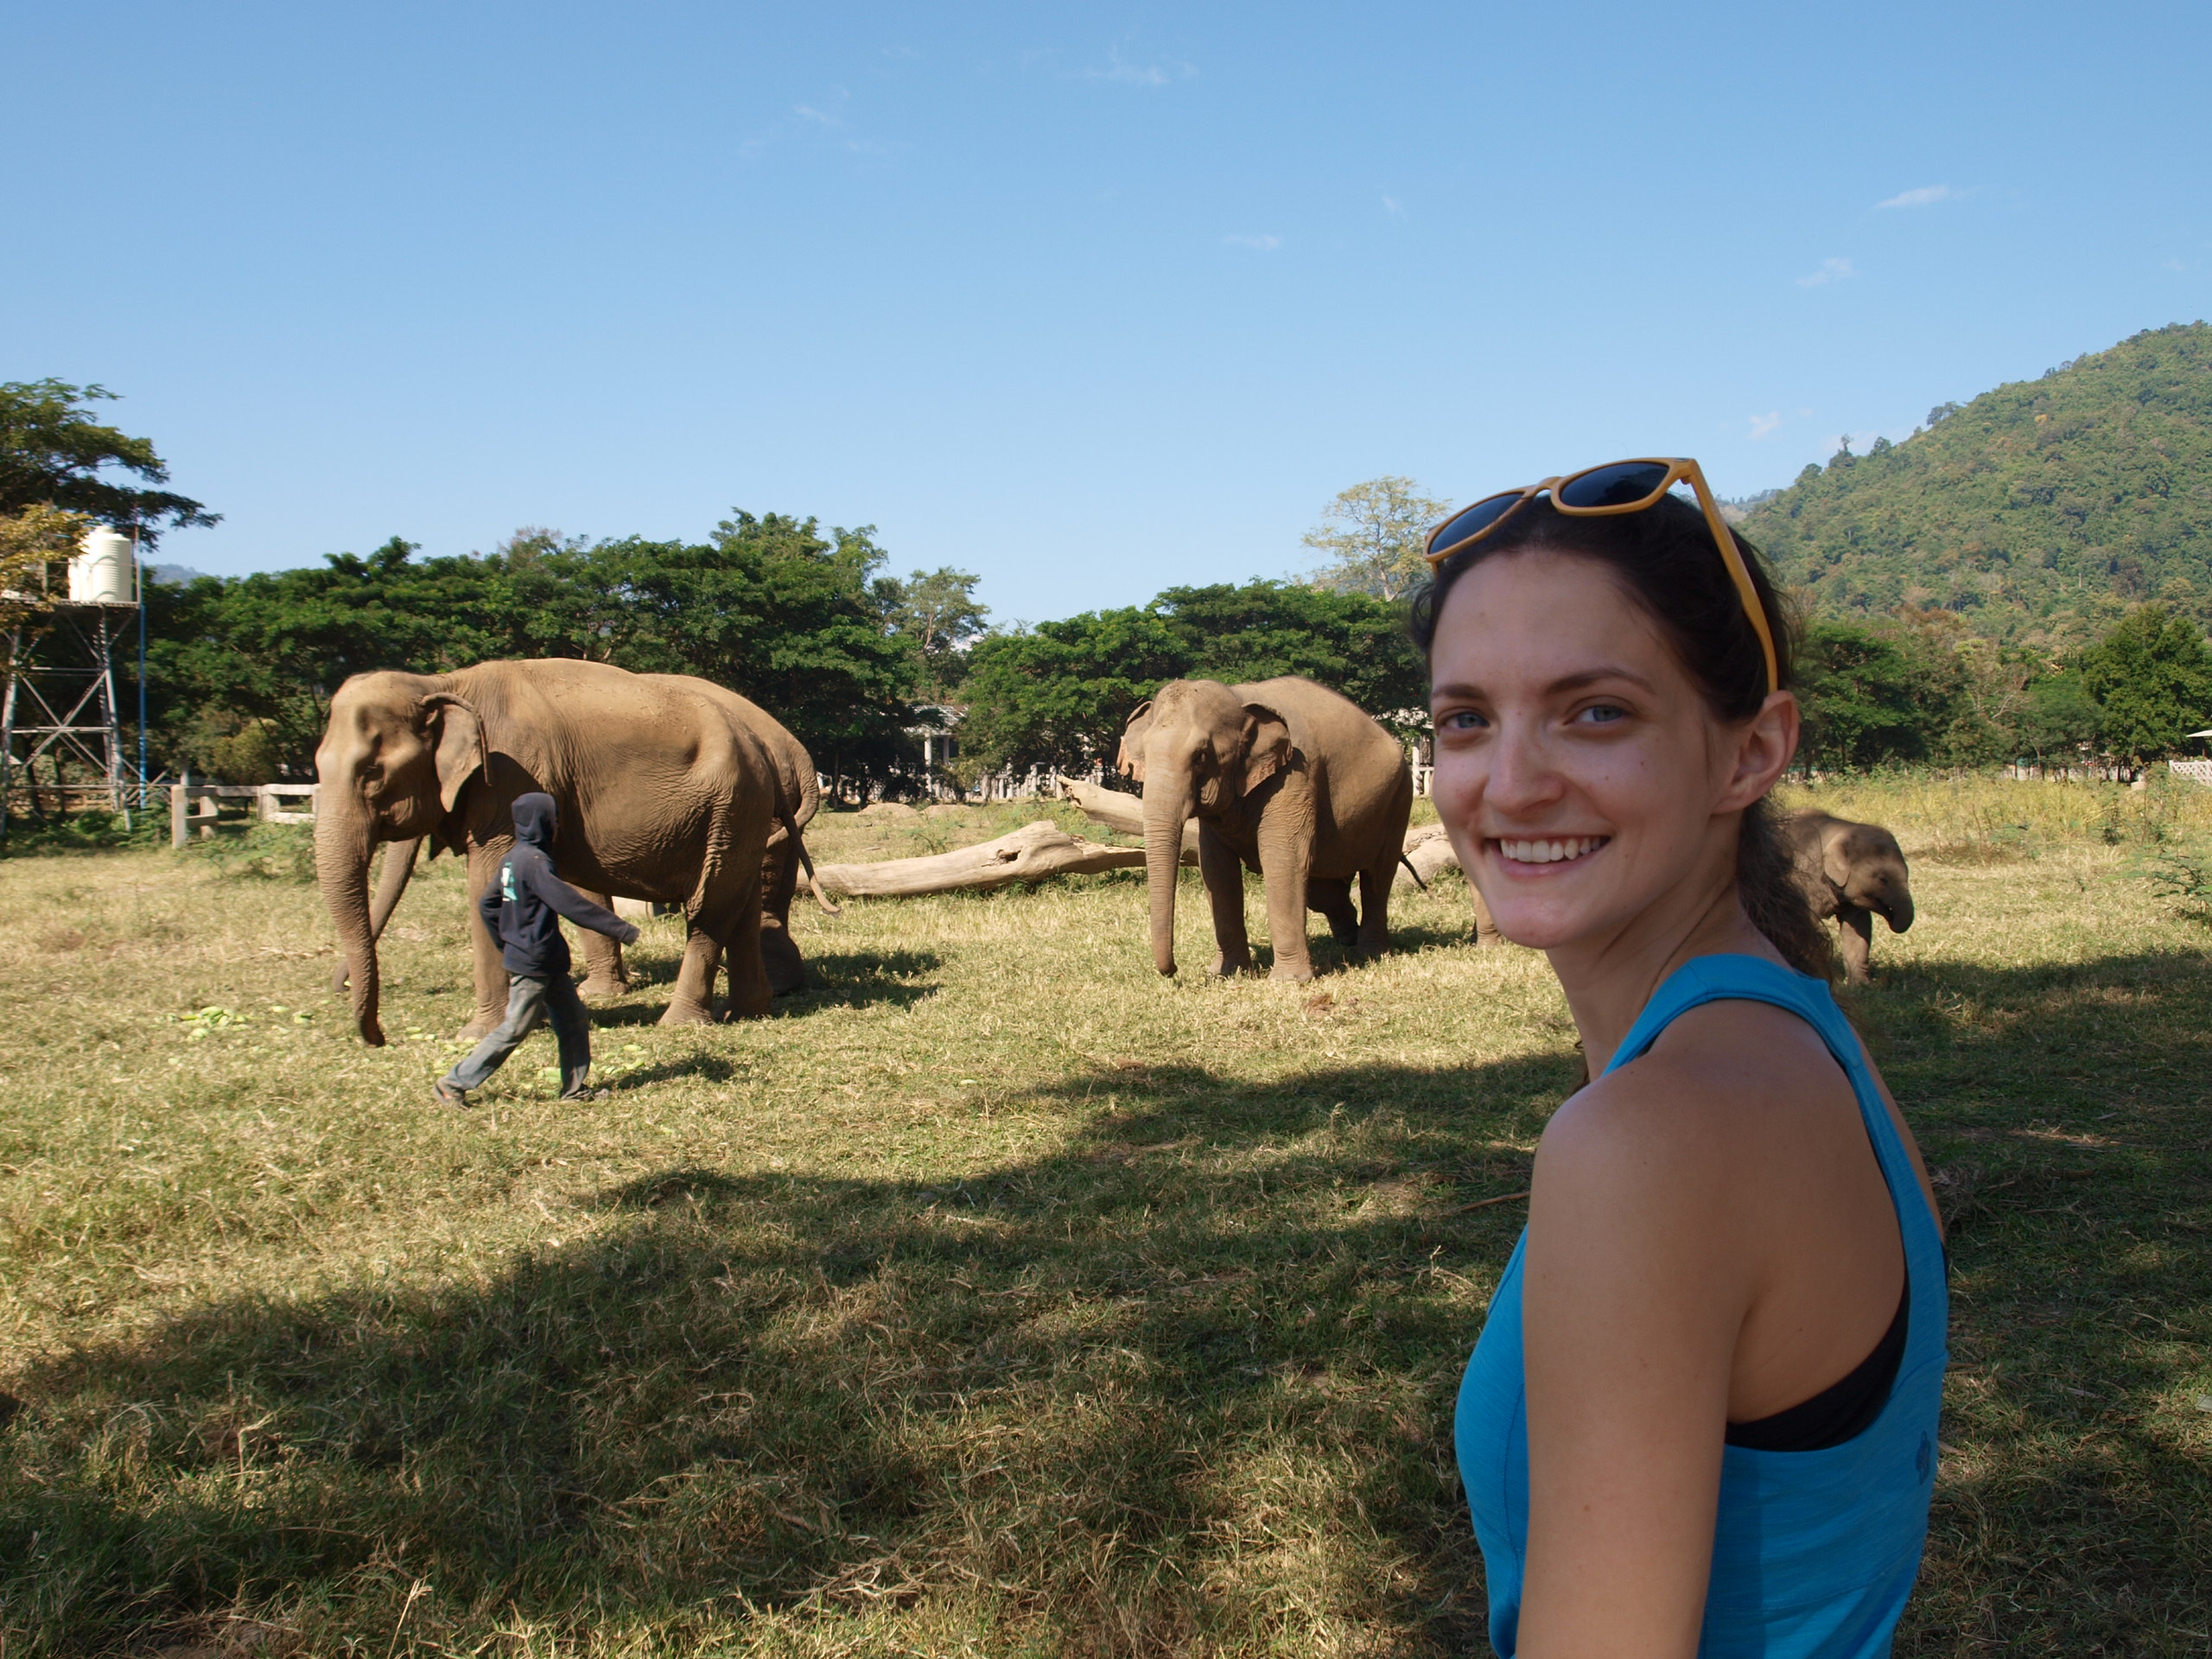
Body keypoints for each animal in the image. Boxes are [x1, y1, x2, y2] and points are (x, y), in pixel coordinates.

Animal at [315, 658, 789, 1046]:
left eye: (372, 772)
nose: (378, 1038)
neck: (443, 682)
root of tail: (760, 745)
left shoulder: (512, 778)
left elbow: (486, 887)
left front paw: (475, 1035)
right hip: (739, 816)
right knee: (740, 903)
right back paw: (745, 1012)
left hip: (729, 805)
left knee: (709, 906)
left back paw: (680, 1023)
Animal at [1118, 676, 1414, 981]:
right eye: (1144, 754)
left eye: (1200, 756)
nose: (1174, 970)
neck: (1239, 697)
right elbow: (1216, 870)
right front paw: (1226, 973)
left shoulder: (1296, 773)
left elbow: (1282, 859)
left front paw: (1287, 981)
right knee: (1325, 889)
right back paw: (1348, 939)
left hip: (1399, 798)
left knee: (1378, 877)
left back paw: (1371, 953)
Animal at [1782, 808, 1916, 983]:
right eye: (1883, 880)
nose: (1891, 917)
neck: (1842, 829)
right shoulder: (1806, 880)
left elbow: (1858, 927)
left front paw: (1861, 984)